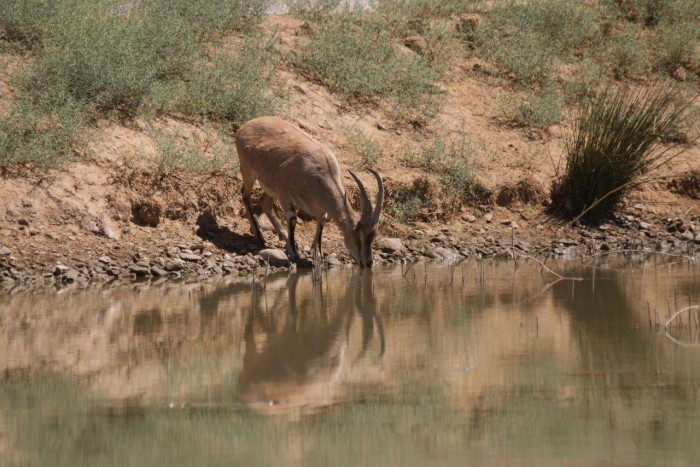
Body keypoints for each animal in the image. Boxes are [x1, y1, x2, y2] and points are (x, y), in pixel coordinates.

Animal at [238, 117, 386, 268]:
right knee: (245, 195)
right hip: (248, 172)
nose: (368, 262)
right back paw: (260, 237)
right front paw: (294, 253)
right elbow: (292, 217)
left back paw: (284, 236)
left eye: (374, 235)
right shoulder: (284, 191)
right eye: (356, 234)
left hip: (270, 189)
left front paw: (317, 254)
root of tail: (246, 125)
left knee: (264, 202)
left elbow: (323, 219)